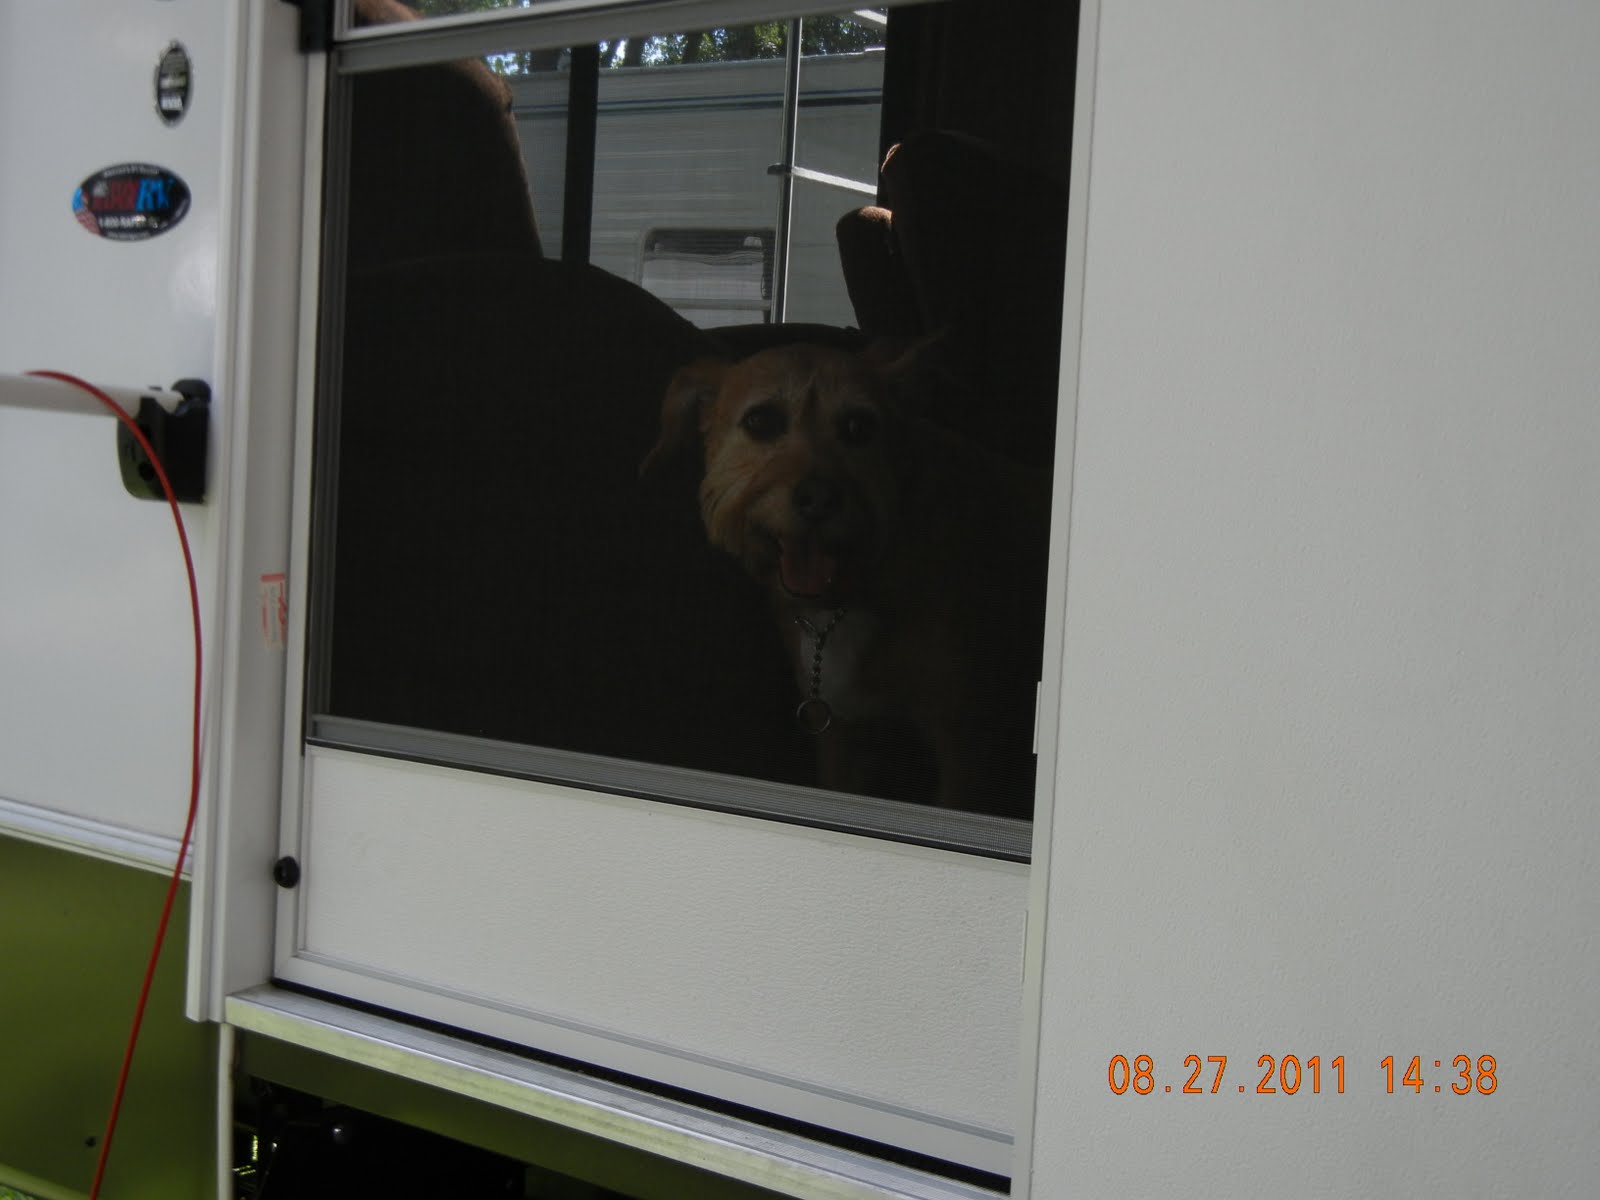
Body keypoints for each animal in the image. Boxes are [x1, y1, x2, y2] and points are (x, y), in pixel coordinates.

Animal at [643, 342, 1049, 819]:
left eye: (858, 427)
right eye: (761, 421)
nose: (818, 499)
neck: (850, 596)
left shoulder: (964, 745)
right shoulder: (842, 738)